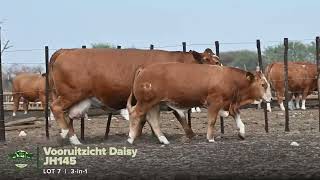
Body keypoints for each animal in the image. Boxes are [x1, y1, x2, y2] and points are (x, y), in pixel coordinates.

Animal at [49, 47, 220, 145]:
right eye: (208, 60)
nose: (221, 70)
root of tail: (65, 51)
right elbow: (179, 117)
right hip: (71, 94)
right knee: (56, 108)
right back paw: (64, 132)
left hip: (79, 99)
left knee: (68, 116)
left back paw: (74, 140)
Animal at [126, 62, 272, 144]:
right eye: (263, 84)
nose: (270, 98)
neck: (230, 79)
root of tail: (144, 69)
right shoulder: (215, 102)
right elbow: (212, 121)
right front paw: (210, 138)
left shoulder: (229, 104)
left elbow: (237, 117)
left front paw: (241, 132)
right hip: (145, 102)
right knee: (136, 114)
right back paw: (131, 138)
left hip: (154, 103)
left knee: (153, 119)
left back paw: (163, 140)